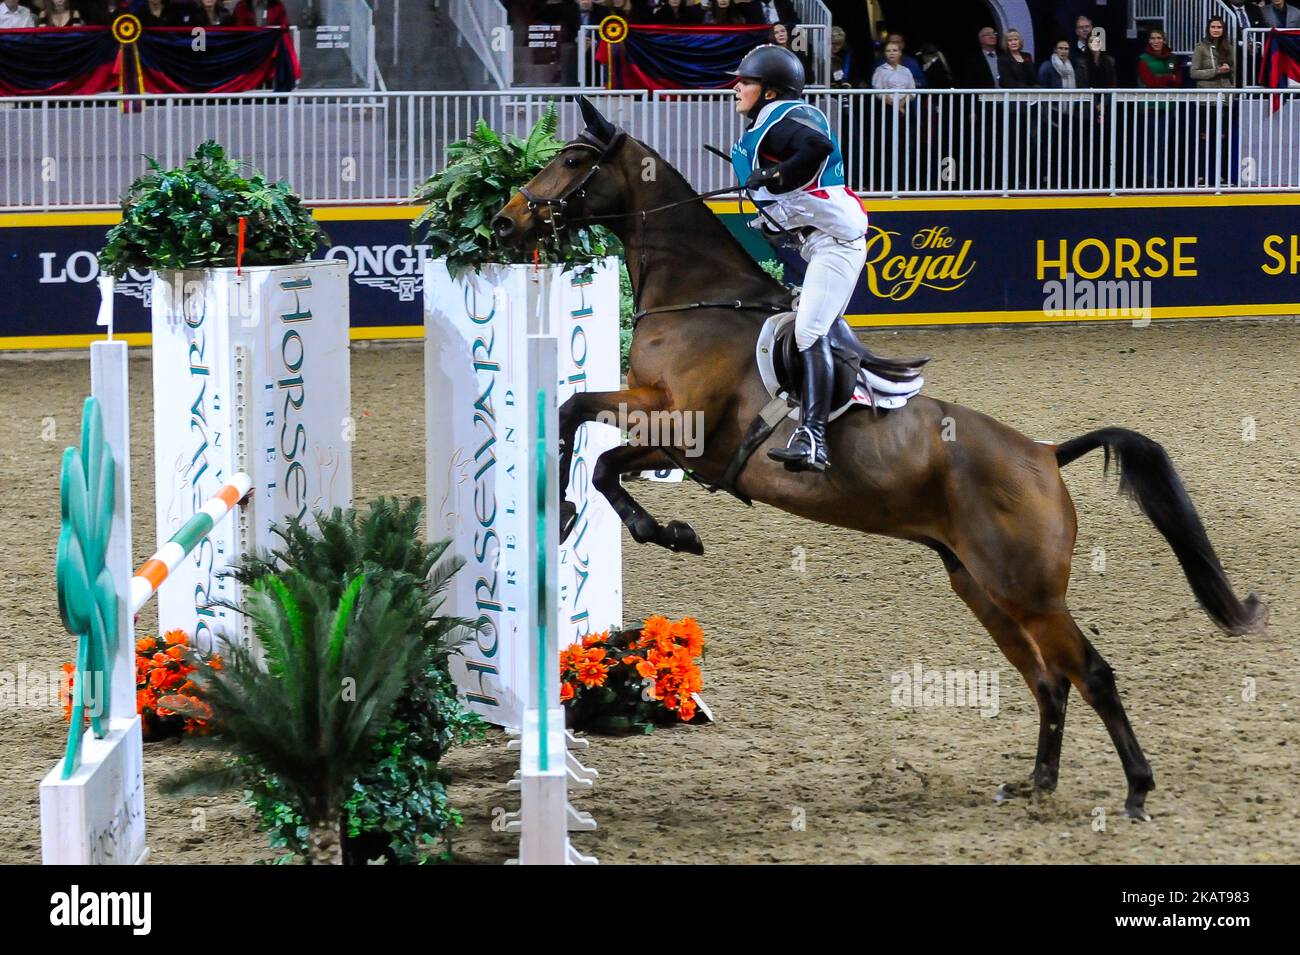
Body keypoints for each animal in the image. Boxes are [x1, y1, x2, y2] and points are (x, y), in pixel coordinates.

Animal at [491, 97, 1263, 815]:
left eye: (570, 159)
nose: (503, 221)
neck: (698, 298)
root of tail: (1046, 454)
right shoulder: (658, 418)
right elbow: (576, 419)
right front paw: (573, 511)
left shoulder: (681, 429)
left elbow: (596, 449)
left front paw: (659, 529)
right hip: (981, 585)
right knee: (1049, 678)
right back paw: (1037, 782)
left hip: (1029, 590)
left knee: (1091, 672)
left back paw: (1136, 789)